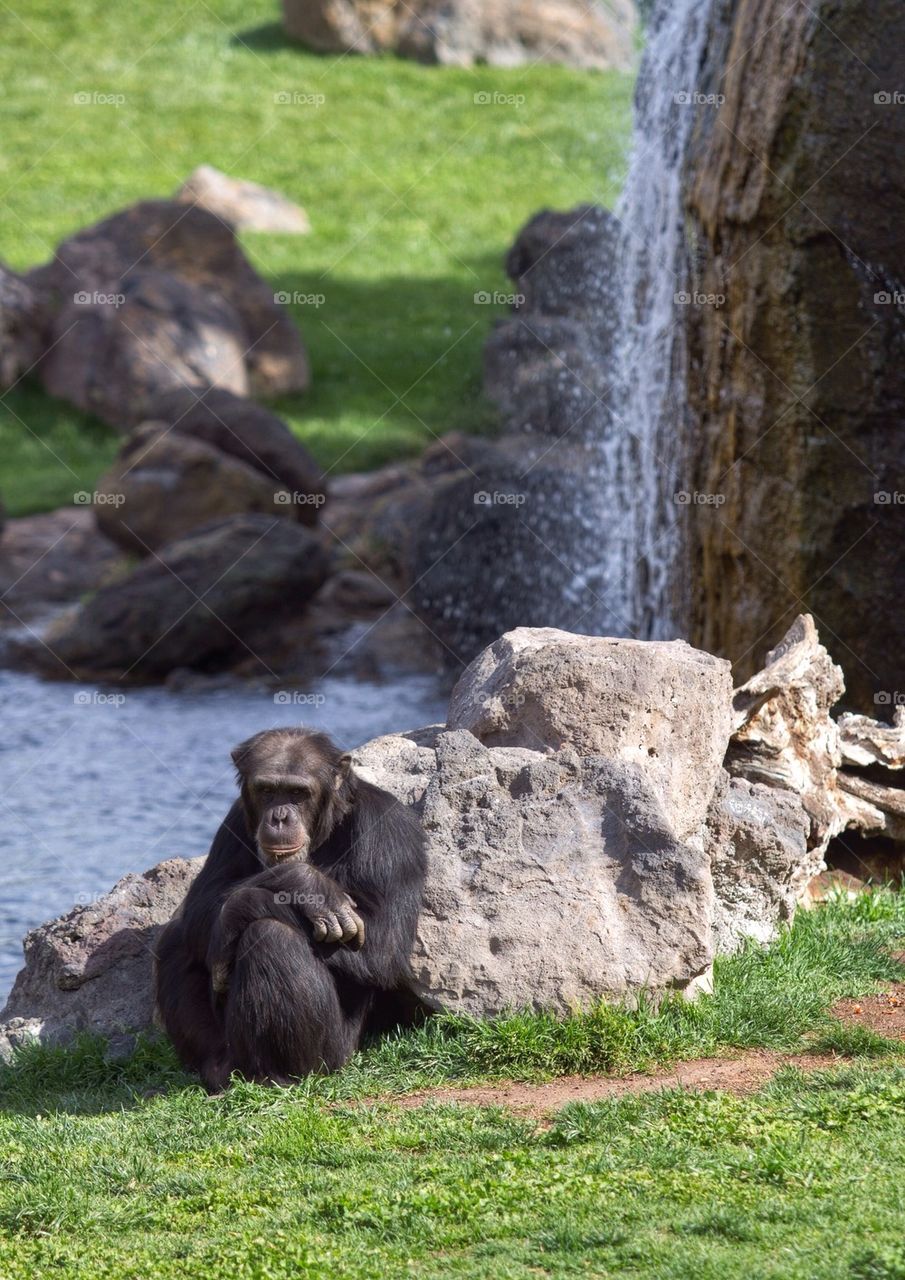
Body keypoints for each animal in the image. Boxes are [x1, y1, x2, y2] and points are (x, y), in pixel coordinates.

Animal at [152, 732, 427, 1090]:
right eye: (267, 791)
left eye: (298, 793)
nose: (280, 817)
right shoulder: (235, 817)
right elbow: (202, 903)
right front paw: (305, 887)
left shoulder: (390, 831)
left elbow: (384, 944)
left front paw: (302, 882)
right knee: (177, 936)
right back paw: (214, 1066)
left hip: (334, 1055)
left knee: (271, 935)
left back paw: (281, 1075)